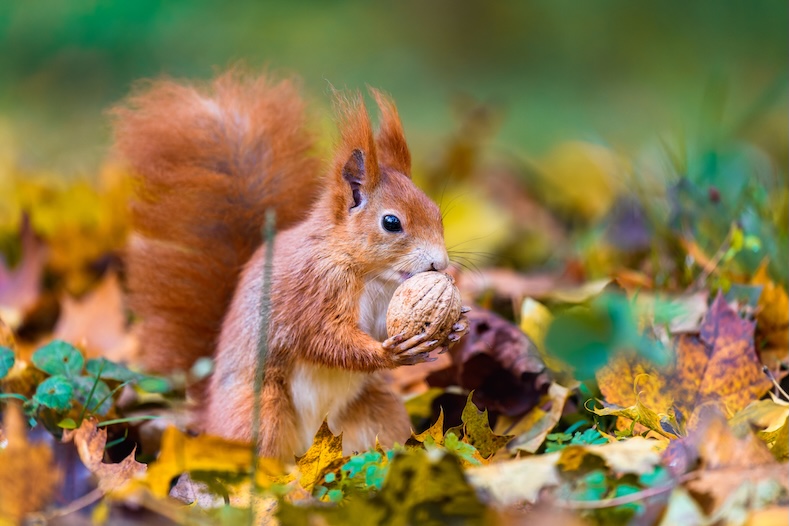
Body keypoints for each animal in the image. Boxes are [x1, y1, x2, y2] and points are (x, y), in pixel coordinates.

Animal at [112, 69, 468, 460]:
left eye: (436, 212)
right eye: (391, 223)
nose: (440, 263)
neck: (371, 275)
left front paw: (456, 326)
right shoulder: (312, 289)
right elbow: (325, 340)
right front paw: (389, 352)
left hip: (376, 410)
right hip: (261, 412)